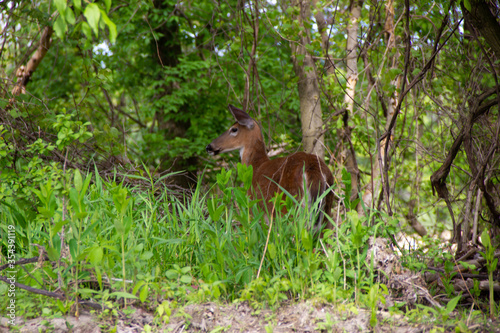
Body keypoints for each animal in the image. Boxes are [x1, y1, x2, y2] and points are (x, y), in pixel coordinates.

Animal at [205, 104, 334, 231]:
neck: (256, 166)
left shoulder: (255, 207)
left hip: (290, 204)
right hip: (326, 208)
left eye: (234, 129)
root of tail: (313, 169)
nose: (209, 147)